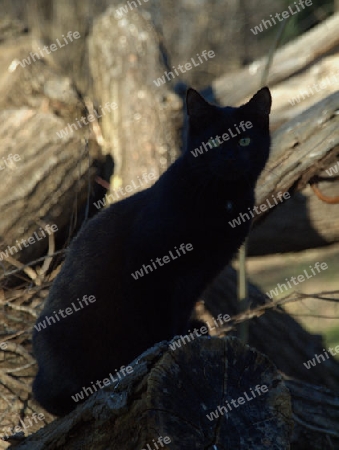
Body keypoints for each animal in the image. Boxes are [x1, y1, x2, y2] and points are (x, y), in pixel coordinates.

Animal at [33, 87, 272, 414]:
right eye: (213, 142)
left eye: (244, 140)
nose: (231, 157)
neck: (223, 200)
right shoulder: (150, 263)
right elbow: (156, 312)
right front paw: (163, 344)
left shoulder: (200, 273)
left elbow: (181, 306)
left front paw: (186, 332)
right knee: (49, 396)